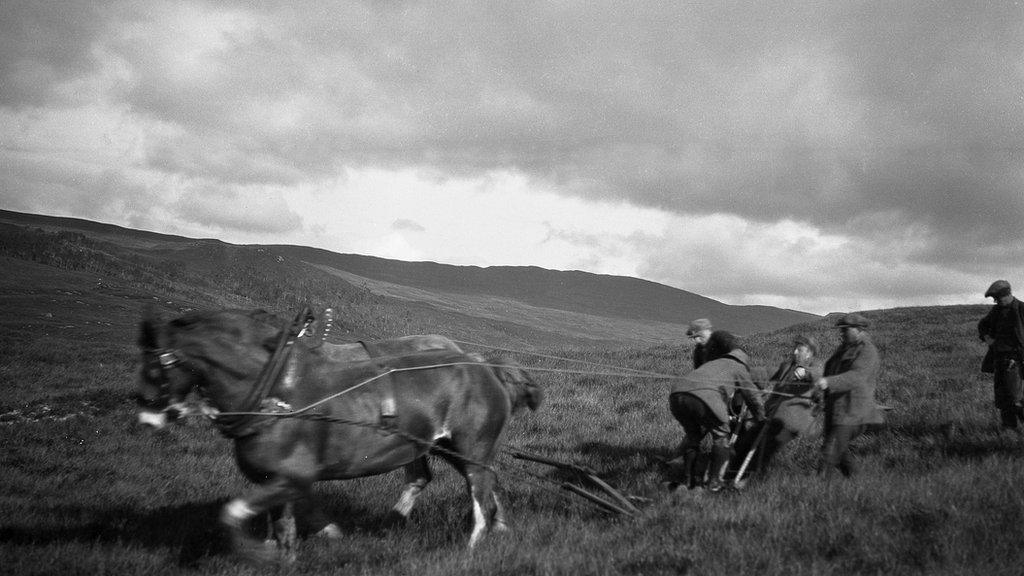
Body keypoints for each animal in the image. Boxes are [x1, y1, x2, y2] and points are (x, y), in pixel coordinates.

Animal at [136, 307, 544, 557]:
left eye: (154, 367)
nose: (145, 417)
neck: (276, 391)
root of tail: (486, 366)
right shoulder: (277, 481)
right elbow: (283, 529)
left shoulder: (293, 476)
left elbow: (236, 514)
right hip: (443, 447)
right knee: (482, 481)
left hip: (467, 449)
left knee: (477, 493)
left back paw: (472, 544)